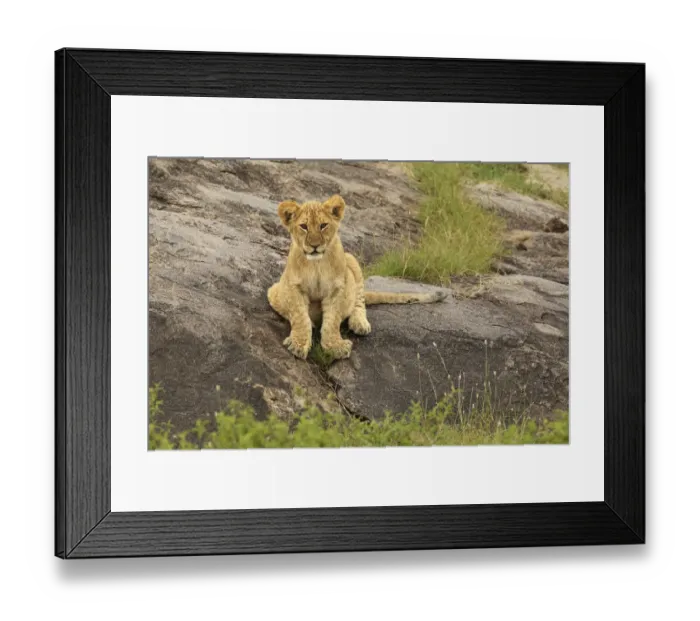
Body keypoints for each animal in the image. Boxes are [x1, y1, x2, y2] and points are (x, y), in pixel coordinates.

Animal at [267, 194, 447, 360]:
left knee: (359, 301)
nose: (315, 246)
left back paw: (359, 323)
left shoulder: (338, 288)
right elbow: (300, 316)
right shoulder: (291, 286)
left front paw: (335, 347)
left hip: (352, 261)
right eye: (303, 226)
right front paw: (298, 344)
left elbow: (332, 321)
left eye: (323, 225)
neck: (316, 263)